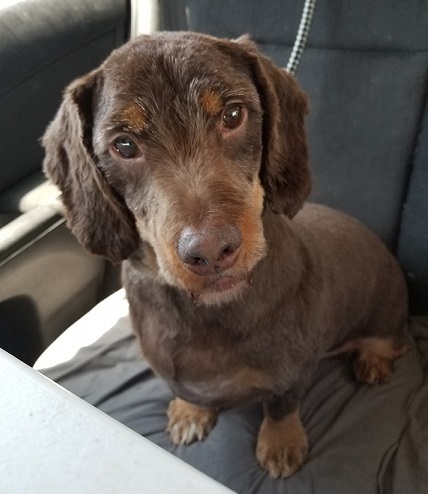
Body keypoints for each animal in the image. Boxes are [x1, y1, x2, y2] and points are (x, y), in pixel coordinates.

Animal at [41, 31, 410, 478]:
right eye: (124, 145)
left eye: (233, 115)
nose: (211, 252)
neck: (208, 311)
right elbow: (191, 390)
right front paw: (191, 410)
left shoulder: (293, 374)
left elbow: (282, 407)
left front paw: (281, 442)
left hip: (386, 314)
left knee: (389, 340)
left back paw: (374, 357)